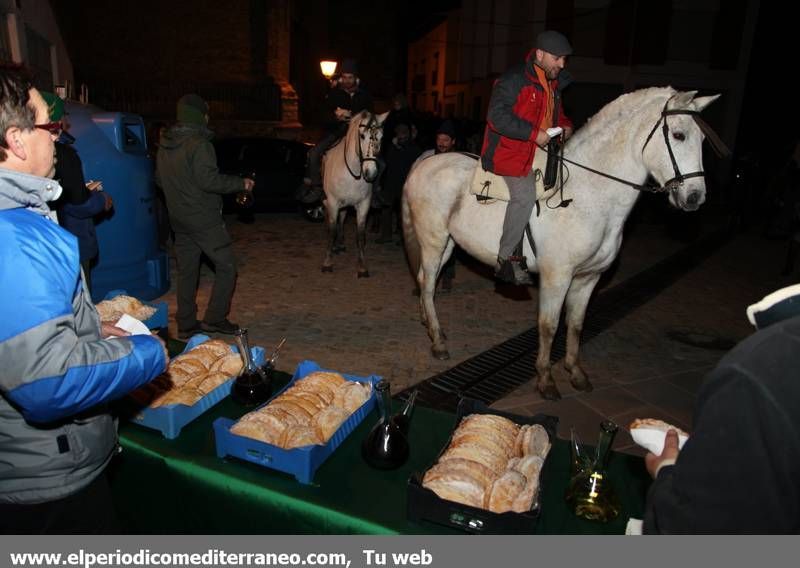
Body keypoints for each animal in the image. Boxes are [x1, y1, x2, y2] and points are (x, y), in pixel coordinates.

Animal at [320, 109, 386, 278]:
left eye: (381, 137)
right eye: (362, 135)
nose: (371, 173)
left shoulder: (363, 205)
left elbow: (360, 235)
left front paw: (362, 267)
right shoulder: (333, 202)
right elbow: (332, 231)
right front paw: (327, 263)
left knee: (342, 219)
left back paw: (340, 244)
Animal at [404, 89, 720, 400]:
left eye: (703, 140)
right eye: (678, 135)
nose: (695, 197)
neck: (588, 195)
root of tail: (425, 163)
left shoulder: (588, 278)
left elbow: (577, 324)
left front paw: (575, 372)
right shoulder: (557, 277)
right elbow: (549, 325)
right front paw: (545, 379)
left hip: (447, 245)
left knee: (424, 280)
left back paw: (431, 327)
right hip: (433, 240)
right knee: (428, 284)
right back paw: (437, 342)